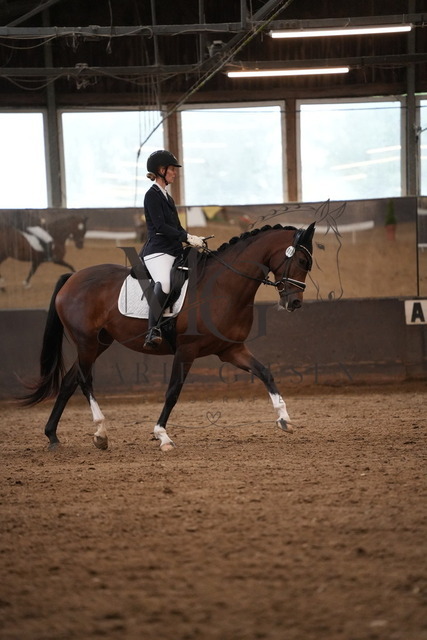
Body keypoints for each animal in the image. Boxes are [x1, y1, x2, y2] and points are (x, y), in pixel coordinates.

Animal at [22, 222, 315, 452]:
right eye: (302, 261)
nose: (294, 303)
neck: (222, 287)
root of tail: (73, 277)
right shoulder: (187, 350)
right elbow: (173, 391)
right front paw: (162, 436)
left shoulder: (231, 350)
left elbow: (265, 372)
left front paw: (284, 419)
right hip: (87, 342)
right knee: (84, 380)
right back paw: (101, 432)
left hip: (99, 343)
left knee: (69, 381)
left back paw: (53, 436)